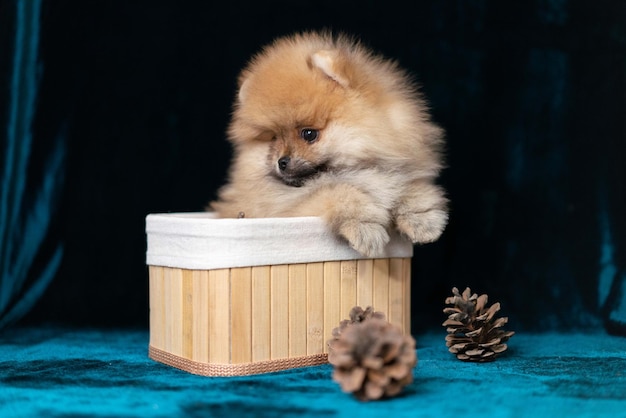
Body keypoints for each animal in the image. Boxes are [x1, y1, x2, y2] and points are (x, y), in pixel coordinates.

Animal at [212, 31, 446, 256]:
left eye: (309, 134)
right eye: (273, 138)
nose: (282, 162)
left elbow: (412, 186)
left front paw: (421, 219)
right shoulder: (284, 208)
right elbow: (339, 192)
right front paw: (365, 227)